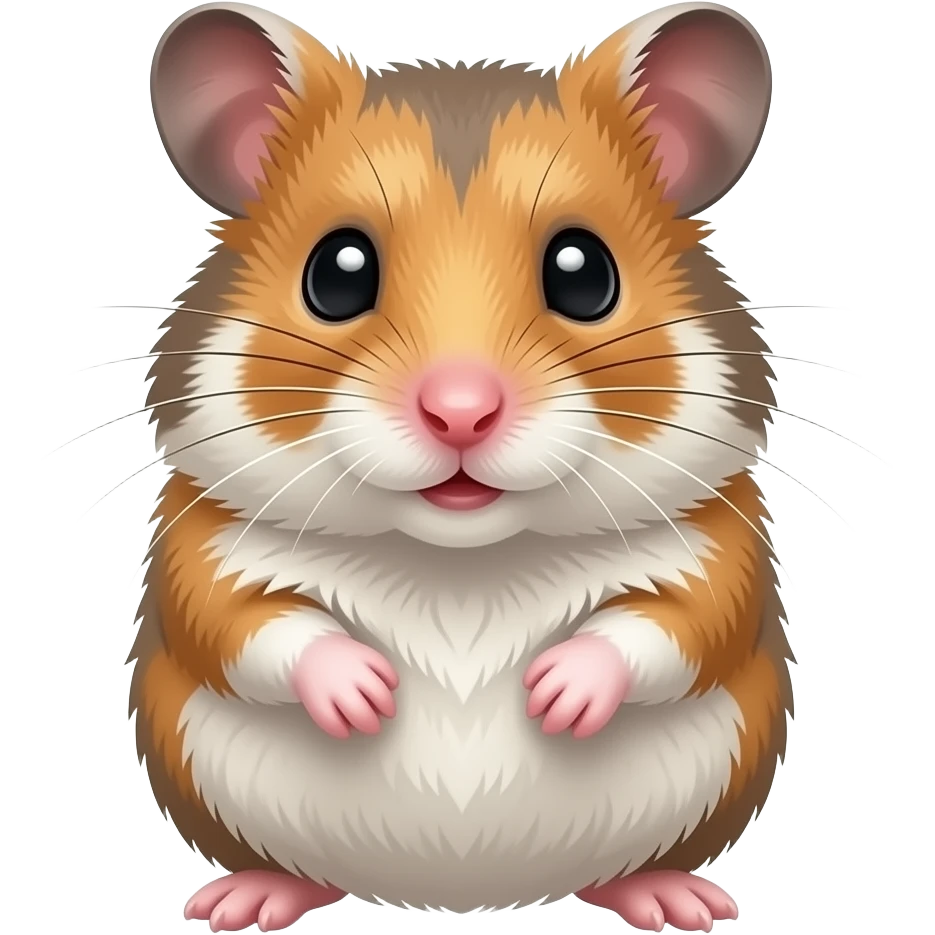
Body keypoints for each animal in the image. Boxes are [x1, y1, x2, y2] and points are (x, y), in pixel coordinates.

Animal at [128, 1, 794, 931]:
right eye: (337, 272)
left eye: (583, 272)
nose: (460, 412)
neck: (460, 562)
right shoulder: (204, 548)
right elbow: (247, 621)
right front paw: (368, 696)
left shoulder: (717, 548)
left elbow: (673, 621)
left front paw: (552, 696)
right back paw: (244, 900)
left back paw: (677, 899)